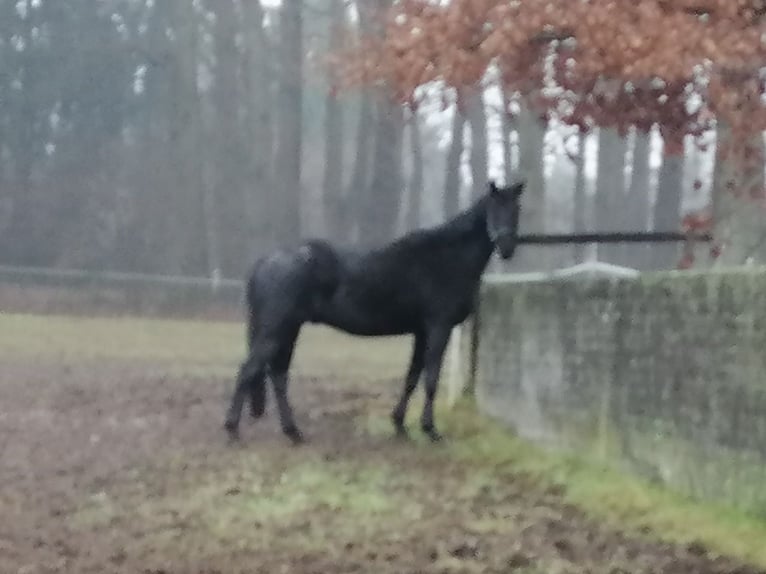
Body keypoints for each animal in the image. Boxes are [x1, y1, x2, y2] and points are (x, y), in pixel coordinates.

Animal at [225, 180, 524, 446]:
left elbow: (411, 377)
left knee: (278, 375)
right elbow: (430, 379)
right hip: (276, 330)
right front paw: (430, 430)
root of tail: (266, 262)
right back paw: (233, 430)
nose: (506, 246)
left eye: (516, 209)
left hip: (289, 330)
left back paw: (293, 432)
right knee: (249, 370)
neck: (446, 258)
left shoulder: (421, 331)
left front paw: (400, 425)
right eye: (494, 208)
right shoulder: (438, 327)